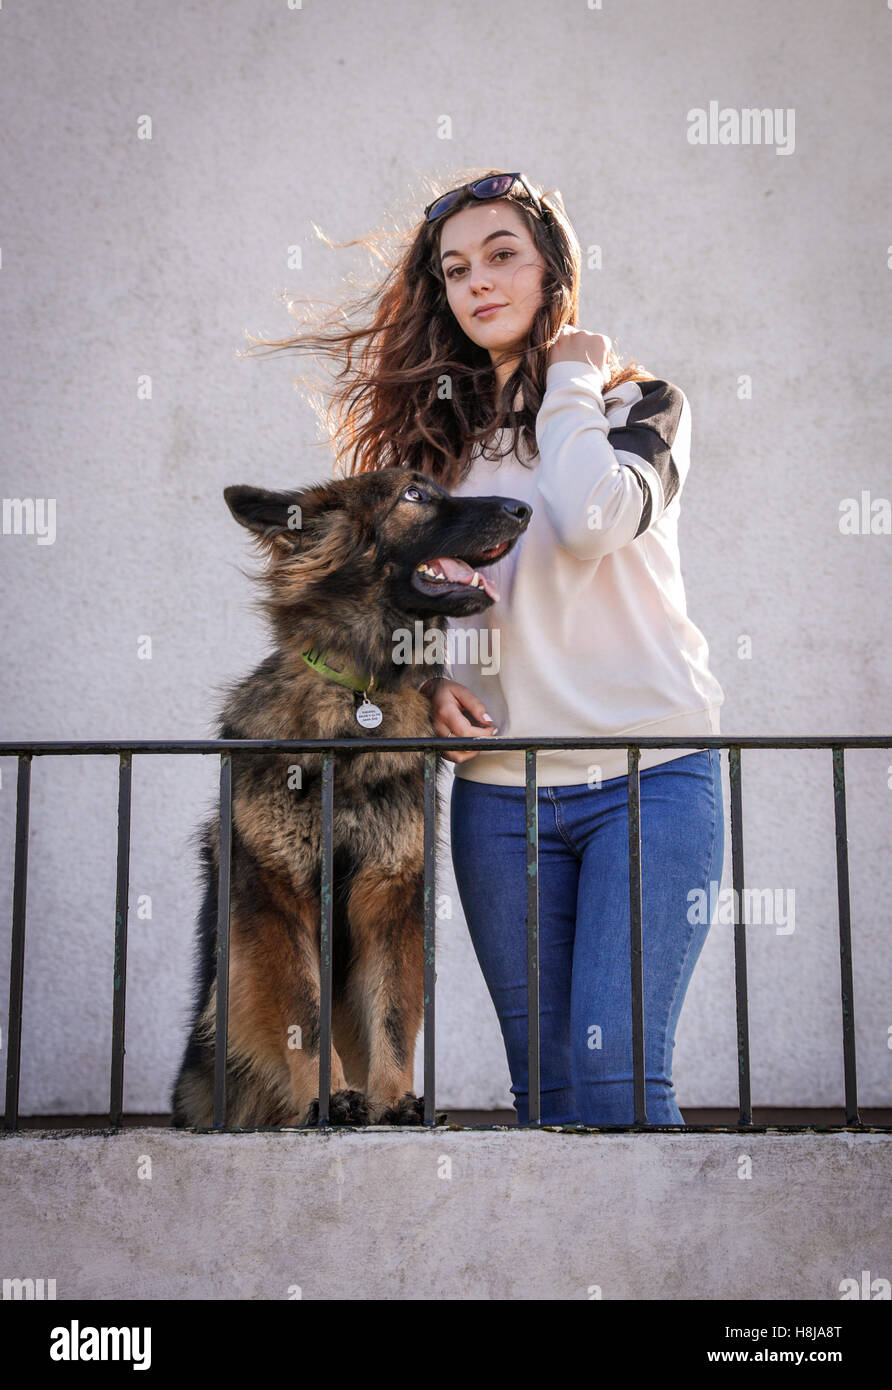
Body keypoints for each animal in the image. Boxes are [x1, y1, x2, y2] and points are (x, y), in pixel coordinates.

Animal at [172, 467, 527, 1128]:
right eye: (414, 495)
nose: (524, 508)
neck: (362, 696)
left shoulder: (390, 897)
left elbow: (390, 1012)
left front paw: (392, 1101)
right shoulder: (279, 899)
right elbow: (304, 1013)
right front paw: (328, 1099)